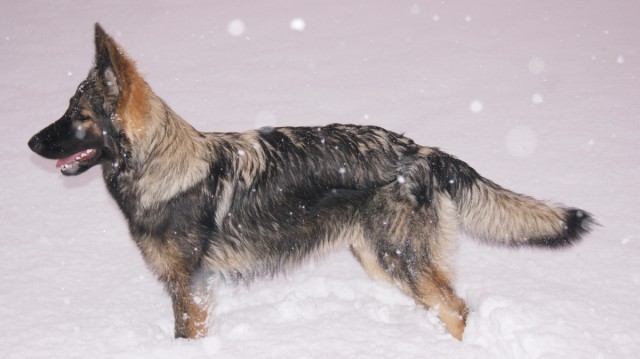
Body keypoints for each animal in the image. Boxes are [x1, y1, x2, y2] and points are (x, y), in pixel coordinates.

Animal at [27, 23, 592, 342]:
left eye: (78, 116)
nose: (29, 142)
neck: (161, 168)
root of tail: (420, 151)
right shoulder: (193, 291)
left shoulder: (189, 291)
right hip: (378, 259)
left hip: (398, 259)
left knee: (456, 308)